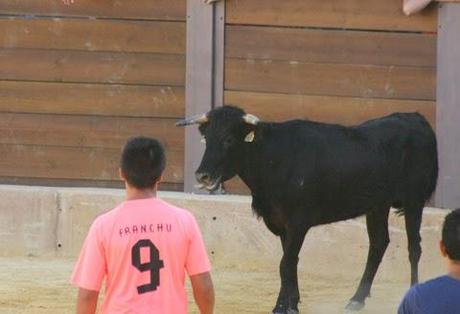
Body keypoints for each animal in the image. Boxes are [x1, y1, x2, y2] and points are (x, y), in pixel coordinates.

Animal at [176, 106, 438, 314]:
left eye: (229, 139)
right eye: (207, 138)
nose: (202, 176)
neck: (272, 158)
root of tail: (416, 118)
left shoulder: (298, 223)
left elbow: (286, 264)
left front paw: (282, 307)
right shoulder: (282, 224)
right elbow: (289, 263)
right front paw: (291, 303)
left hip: (414, 200)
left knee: (414, 247)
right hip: (377, 206)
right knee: (378, 244)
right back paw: (356, 299)